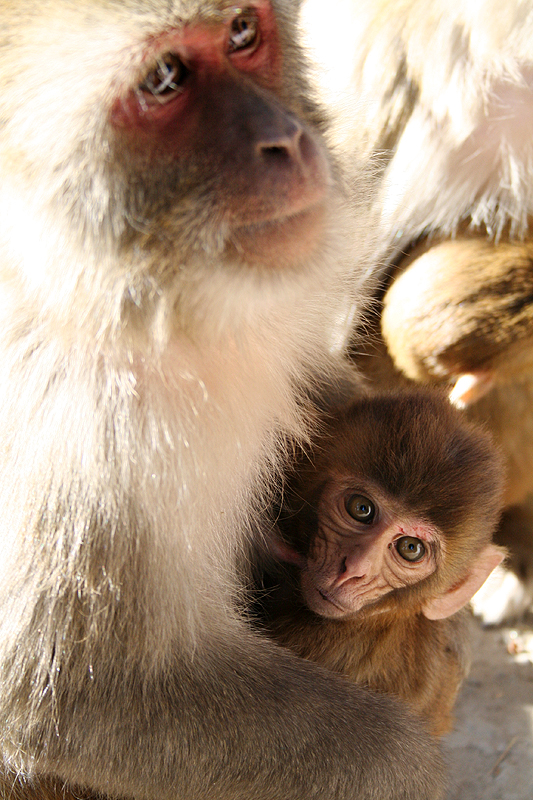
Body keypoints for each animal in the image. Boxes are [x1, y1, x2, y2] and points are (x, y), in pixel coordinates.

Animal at [0, 1, 448, 800]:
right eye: (164, 78)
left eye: (242, 31)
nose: (287, 141)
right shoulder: (76, 434)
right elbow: (68, 692)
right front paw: (407, 769)